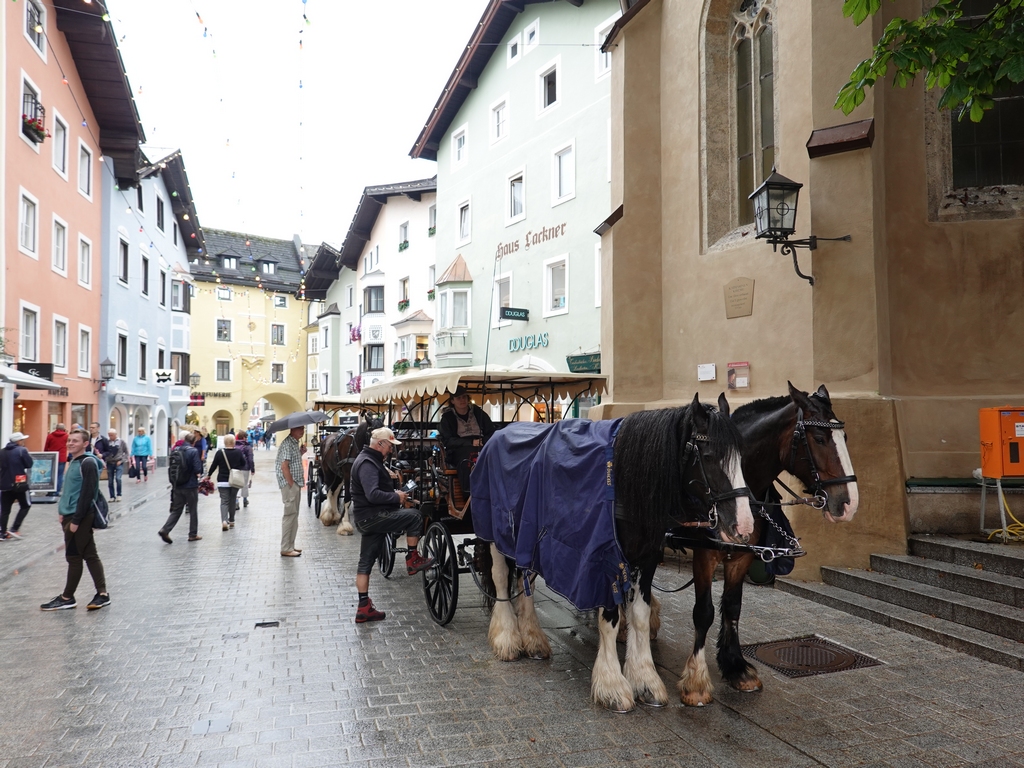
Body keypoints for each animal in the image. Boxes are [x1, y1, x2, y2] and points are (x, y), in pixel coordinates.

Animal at [675, 385, 860, 708]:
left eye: (845, 437)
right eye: (819, 438)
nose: (849, 503)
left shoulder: (743, 557)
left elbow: (733, 607)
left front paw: (735, 666)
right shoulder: (705, 555)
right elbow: (704, 612)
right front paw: (696, 682)